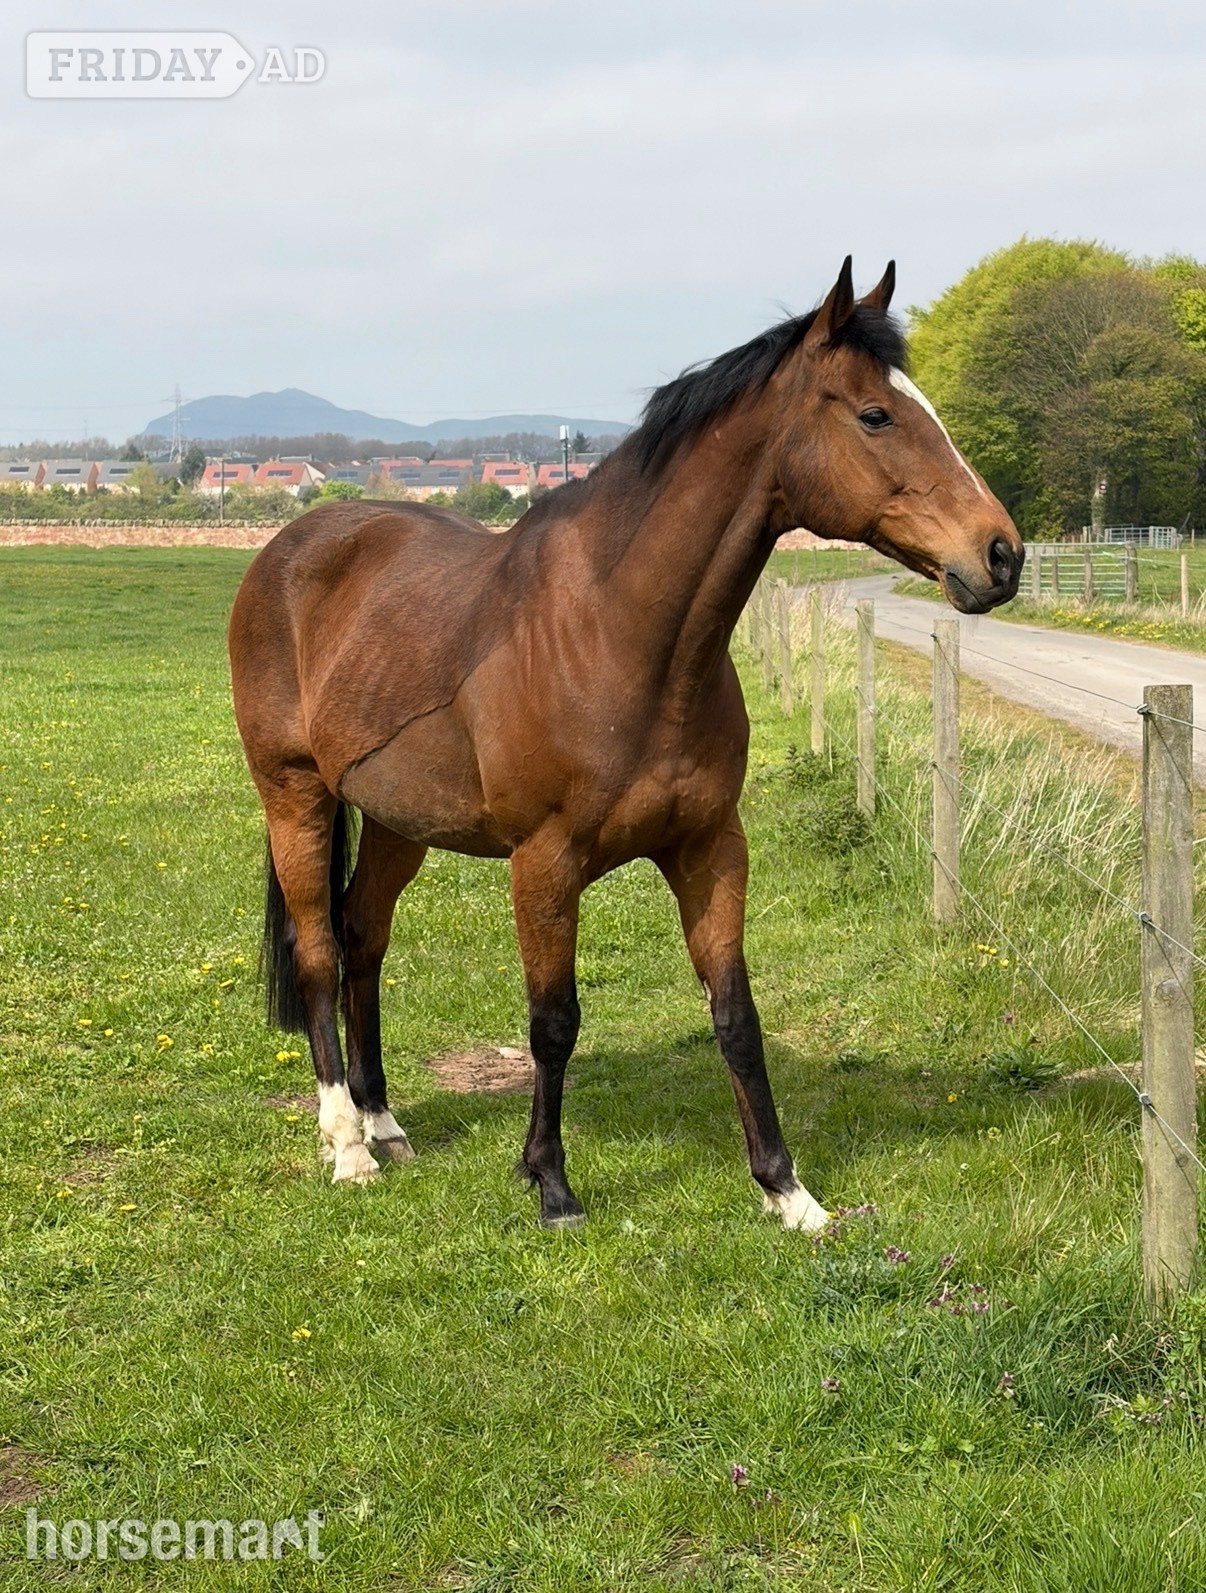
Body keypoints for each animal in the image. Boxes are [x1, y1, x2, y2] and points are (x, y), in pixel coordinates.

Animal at [228, 257, 1023, 1231]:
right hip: (295, 794)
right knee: (317, 948)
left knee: (363, 936)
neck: (620, 634)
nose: (1001, 554)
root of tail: (290, 547)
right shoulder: (545, 863)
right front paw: (551, 1184)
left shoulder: (710, 847)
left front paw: (787, 1190)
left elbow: (737, 1015)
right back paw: (347, 1144)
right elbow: (553, 1021)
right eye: (876, 414)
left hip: (395, 820)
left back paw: (384, 1120)